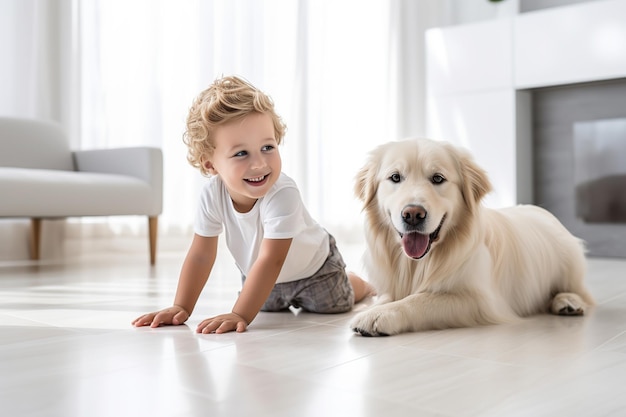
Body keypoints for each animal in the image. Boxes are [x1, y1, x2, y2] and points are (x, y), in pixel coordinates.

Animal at [348, 138, 592, 336]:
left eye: (438, 178)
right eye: (395, 177)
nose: (413, 215)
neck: (419, 263)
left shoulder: (480, 301)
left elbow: (420, 299)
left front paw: (378, 315)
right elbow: (388, 297)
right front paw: (374, 307)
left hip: (570, 261)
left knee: (581, 292)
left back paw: (567, 301)